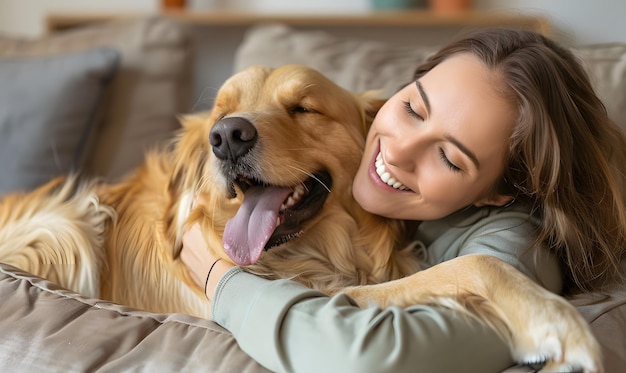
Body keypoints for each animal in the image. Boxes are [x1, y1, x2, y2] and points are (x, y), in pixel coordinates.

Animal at [0, 64, 600, 370]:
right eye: (220, 114)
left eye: (304, 108)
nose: (226, 137)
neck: (315, 252)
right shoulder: (332, 295)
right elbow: (474, 265)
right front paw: (556, 325)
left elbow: (465, 264)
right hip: (66, 225)